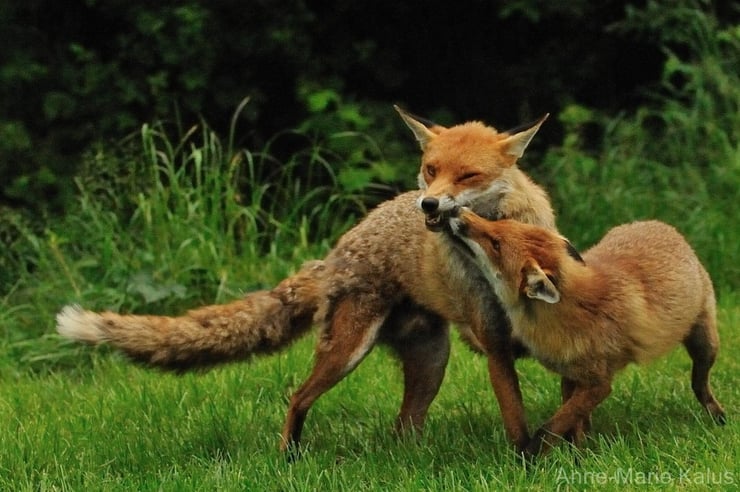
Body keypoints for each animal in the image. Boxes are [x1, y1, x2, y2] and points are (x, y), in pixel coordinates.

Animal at [56, 106, 554, 454]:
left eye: (468, 175)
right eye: (431, 170)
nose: (428, 204)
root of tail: (336, 251)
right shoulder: (492, 339)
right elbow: (516, 421)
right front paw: (525, 463)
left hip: (430, 363)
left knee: (402, 428)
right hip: (348, 352)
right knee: (297, 398)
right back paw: (288, 458)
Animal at [446, 209, 726, 457]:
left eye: (496, 244)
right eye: (501, 224)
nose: (458, 211)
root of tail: (661, 225)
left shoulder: (599, 383)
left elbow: (552, 426)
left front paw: (531, 456)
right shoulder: (571, 375)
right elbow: (572, 421)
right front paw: (579, 453)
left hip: (705, 345)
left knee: (698, 383)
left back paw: (717, 416)